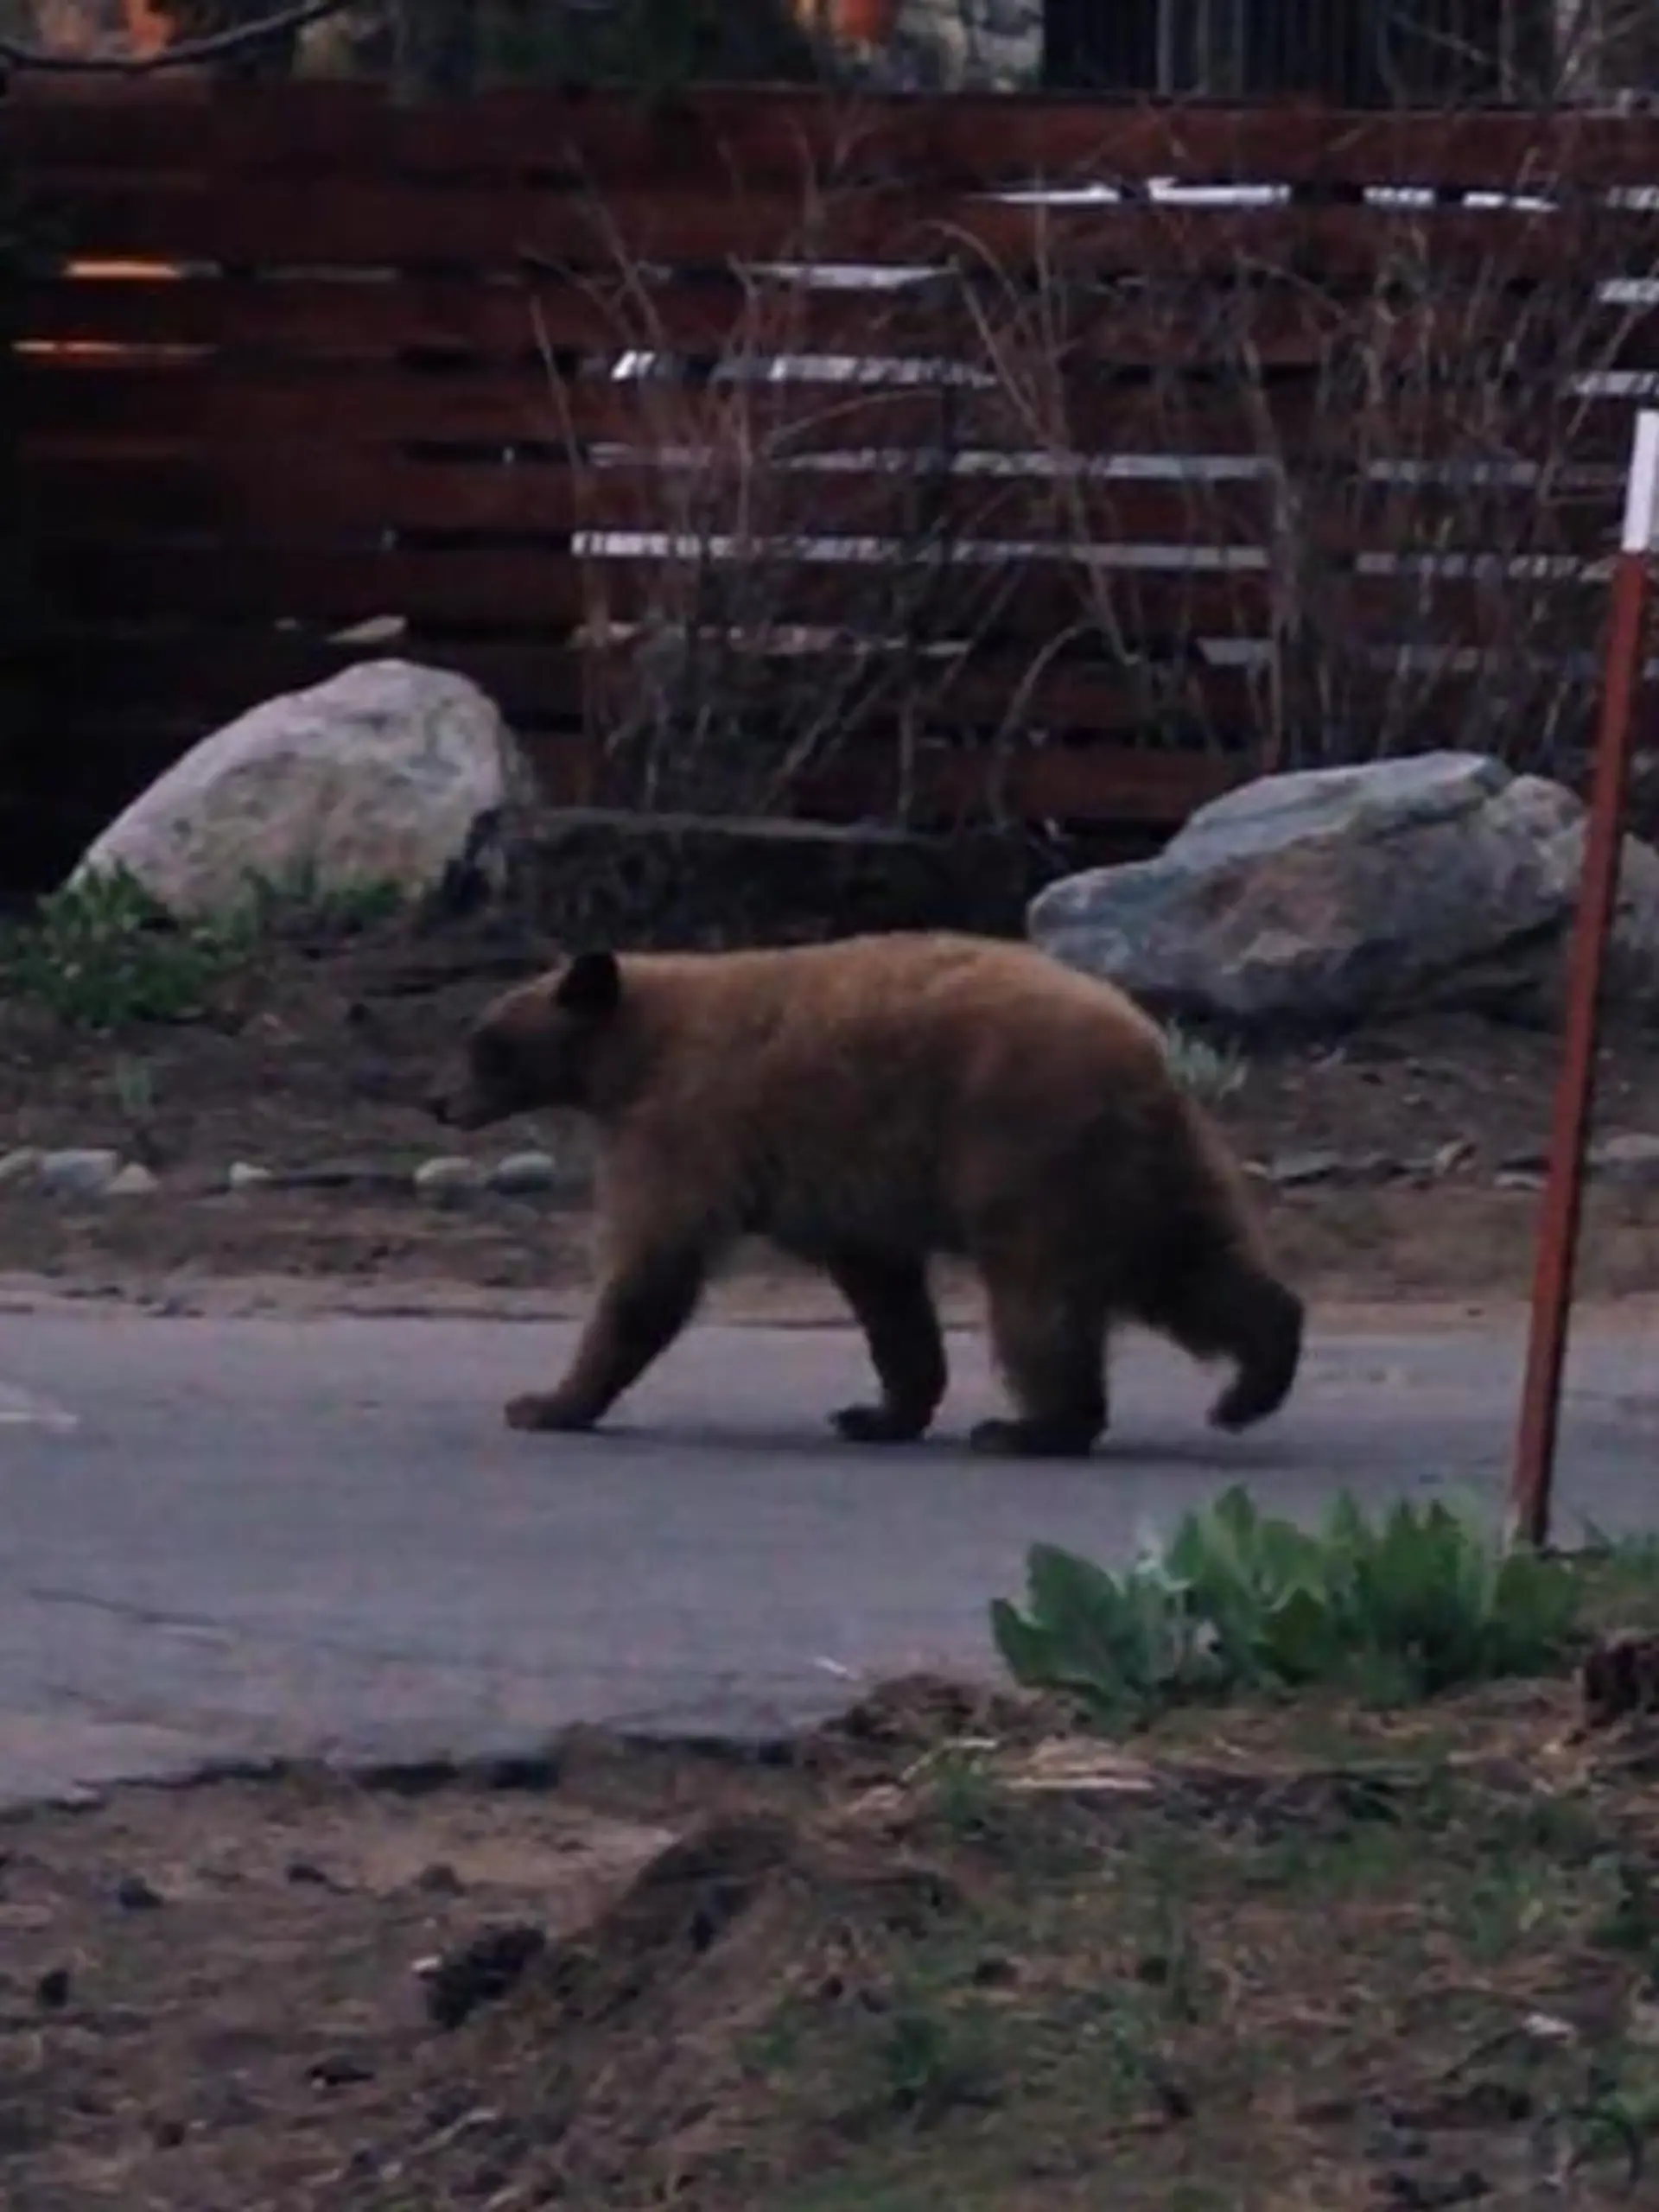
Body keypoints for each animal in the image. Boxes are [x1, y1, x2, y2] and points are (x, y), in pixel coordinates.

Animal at [428, 931, 1303, 1456]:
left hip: (1024, 1153)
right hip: (1141, 1170)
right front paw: (880, 1412)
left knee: (1039, 1299)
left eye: (487, 1046)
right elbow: (886, 1295)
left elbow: (653, 1265)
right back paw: (1251, 1383)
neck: (632, 1054)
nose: (440, 1103)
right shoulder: (842, 1186)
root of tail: (1146, 1049)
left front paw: (548, 1401)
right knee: (1193, 1270)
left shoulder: (687, 1125)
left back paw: (1033, 1426)